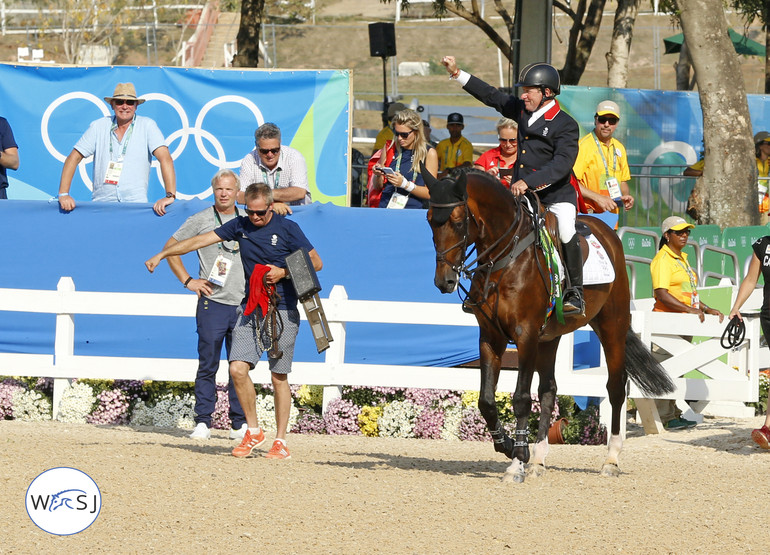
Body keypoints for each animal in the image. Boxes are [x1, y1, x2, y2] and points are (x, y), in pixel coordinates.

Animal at [424, 169, 668, 482]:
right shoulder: (491, 337)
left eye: (457, 221)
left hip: (611, 326)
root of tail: (607, 231)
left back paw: (611, 460)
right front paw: (508, 446)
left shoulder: (525, 335)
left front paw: (517, 461)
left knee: (615, 387)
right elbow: (487, 401)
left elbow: (520, 398)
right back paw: (538, 460)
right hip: (549, 338)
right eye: (429, 219)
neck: (507, 257)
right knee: (549, 390)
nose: (444, 281)